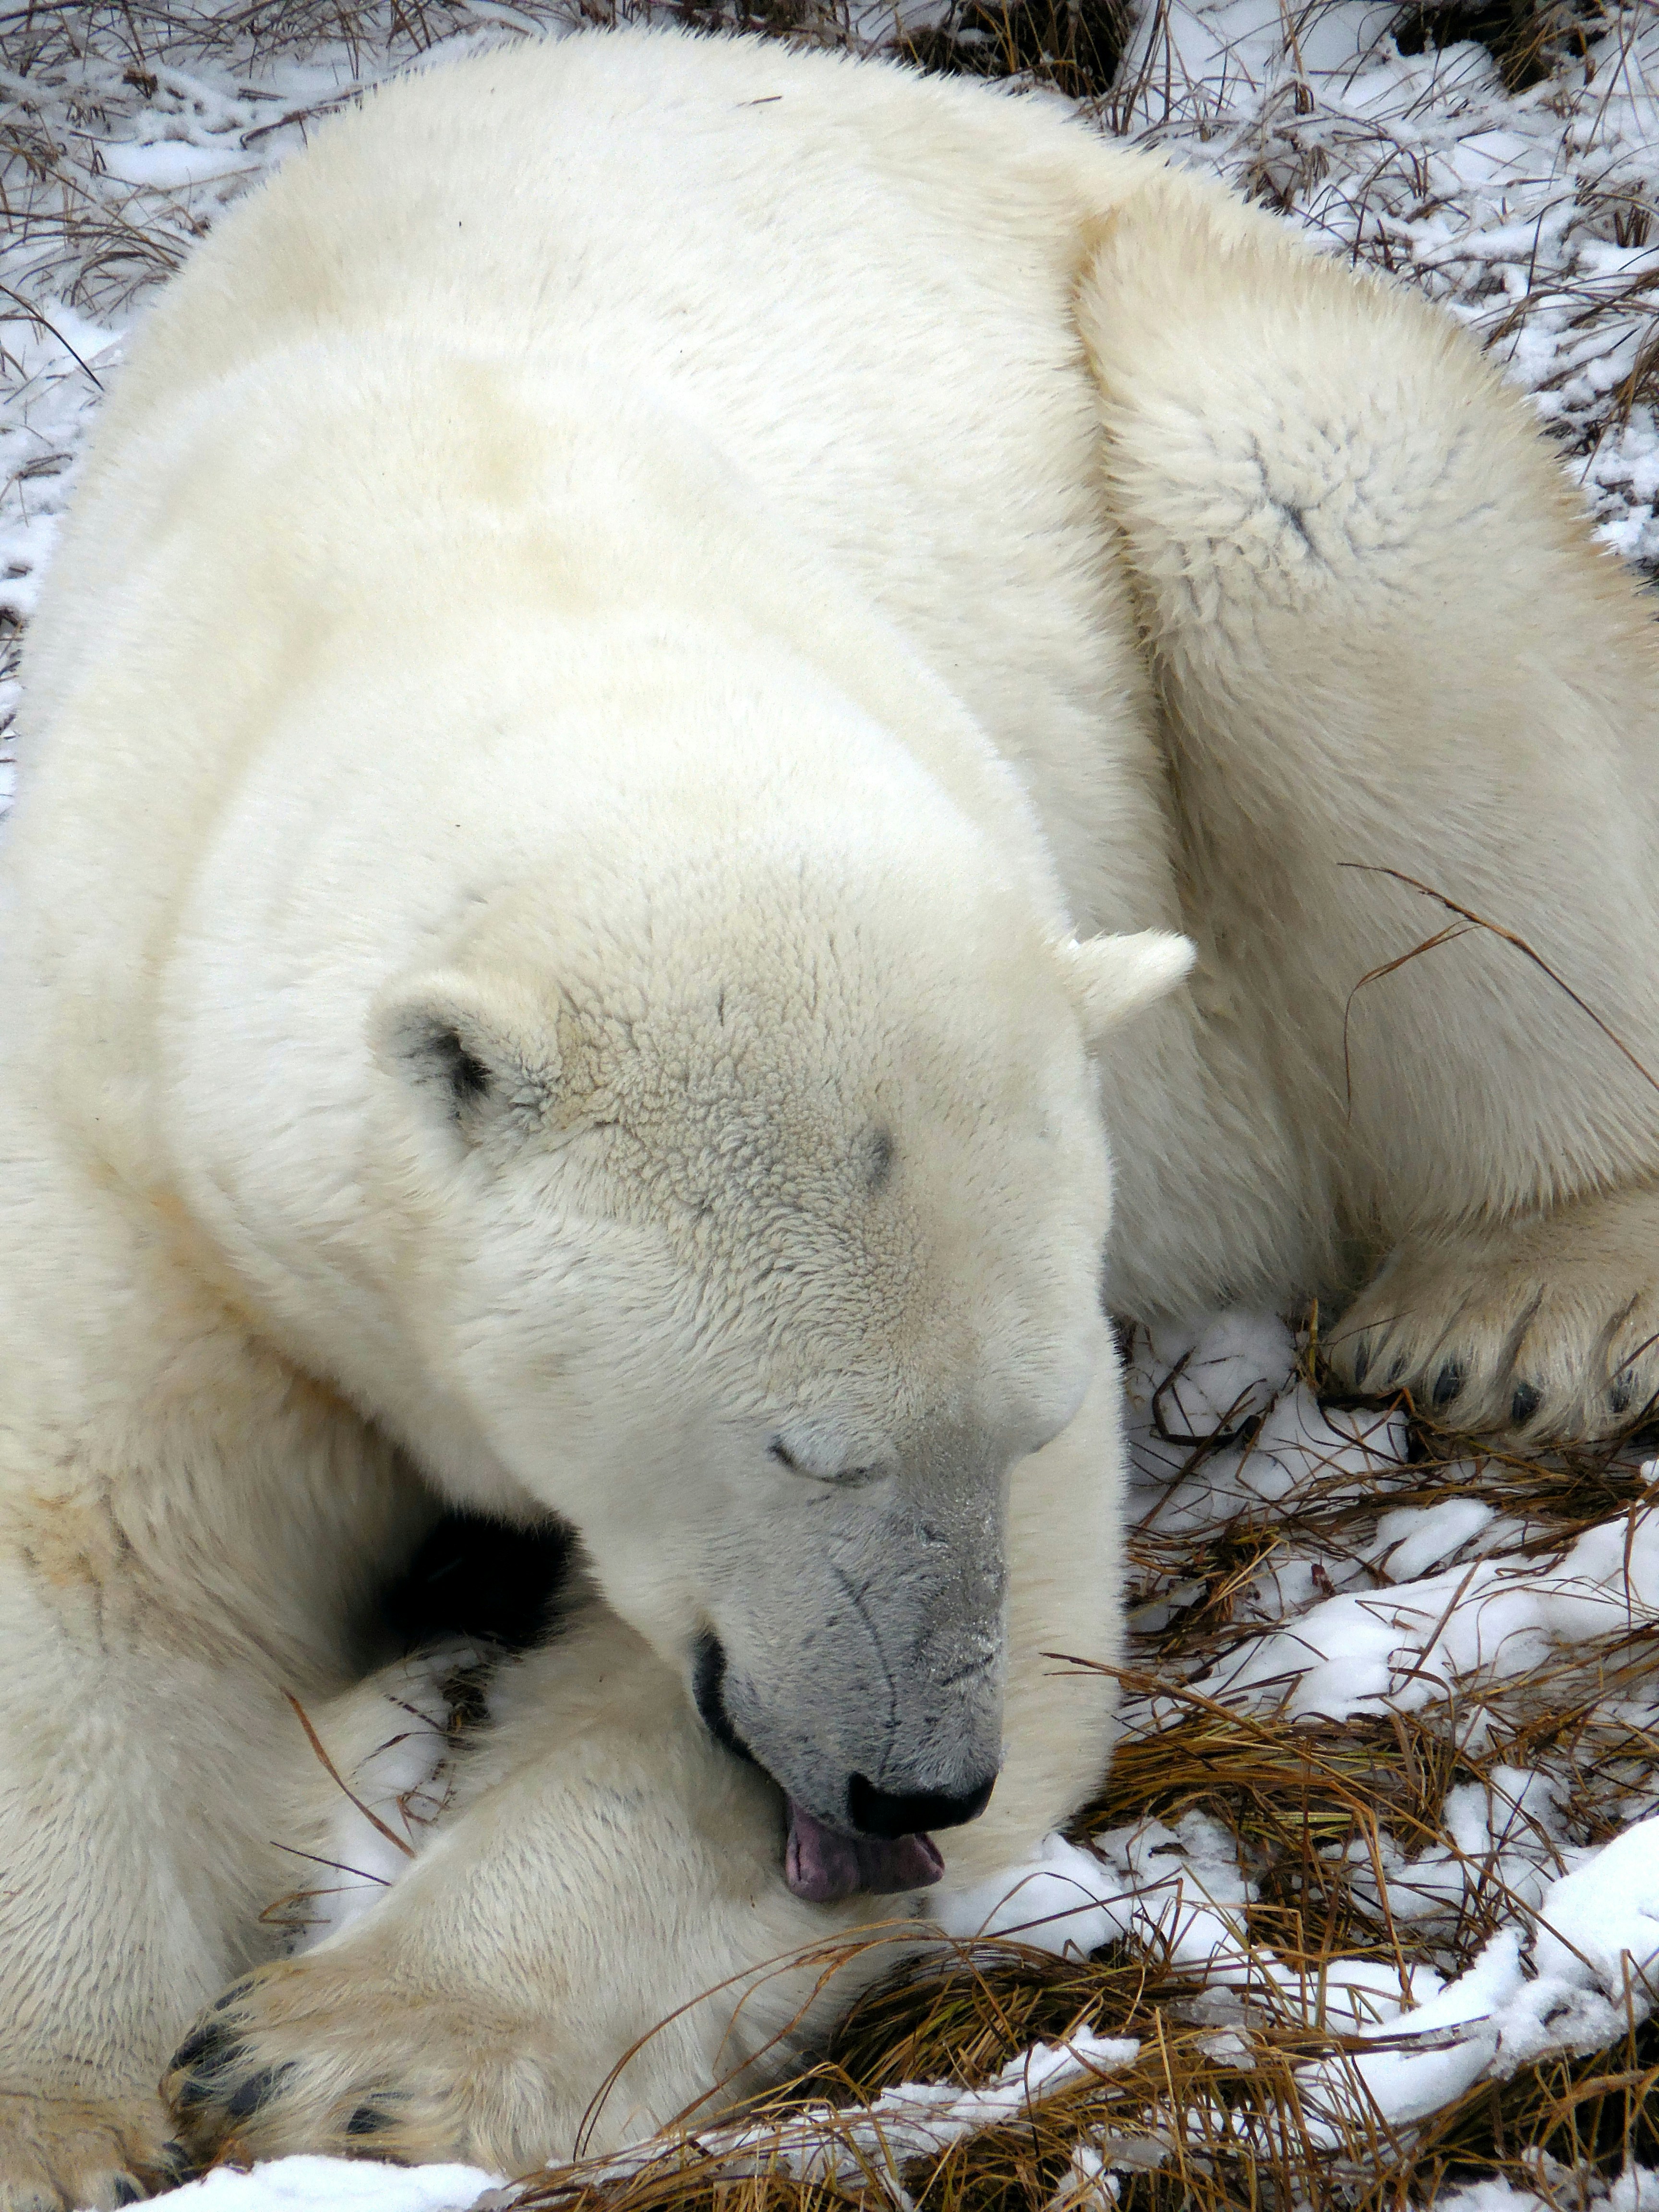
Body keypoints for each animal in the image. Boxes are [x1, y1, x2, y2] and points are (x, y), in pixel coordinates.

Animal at [4, 21, 1659, 2207]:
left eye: (1029, 1419)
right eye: (805, 1445)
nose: (914, 1778)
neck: (491, 568)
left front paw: (354, 2052)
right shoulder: (139, 1110)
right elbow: (100, 1556)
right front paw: (58, 2104)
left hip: (1213, 380)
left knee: (1337, 537)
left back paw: (1533, 1295)